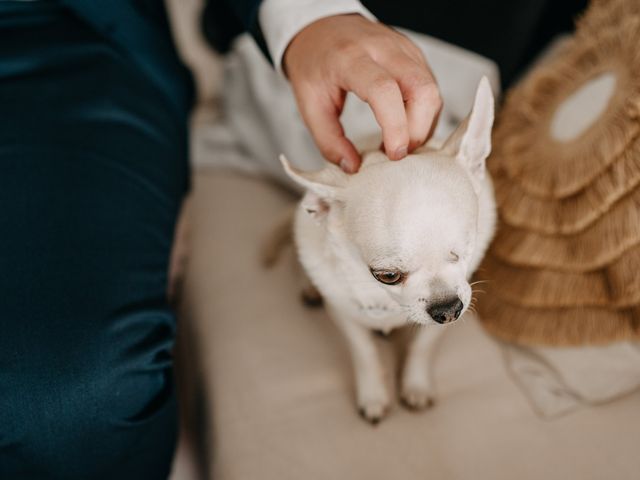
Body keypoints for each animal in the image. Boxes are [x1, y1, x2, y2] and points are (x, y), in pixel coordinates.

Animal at [282, 79, 498, 424]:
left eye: (464, 251)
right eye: (387, 276)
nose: (448, 309)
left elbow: (423, 345)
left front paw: (416, 385)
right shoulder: (344, 314)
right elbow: (365, 352)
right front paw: (373, 396)